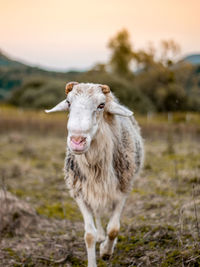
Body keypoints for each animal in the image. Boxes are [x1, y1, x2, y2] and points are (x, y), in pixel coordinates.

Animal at [45, 82, 144, 267]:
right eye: (68, 103)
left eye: (101, 105)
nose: (77, 141)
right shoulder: (79, 192)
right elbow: (89, 235)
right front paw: (96, 247)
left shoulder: (123, 190)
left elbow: (114, 229)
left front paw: (106, 252)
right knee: (97, 212)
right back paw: (100, 236)